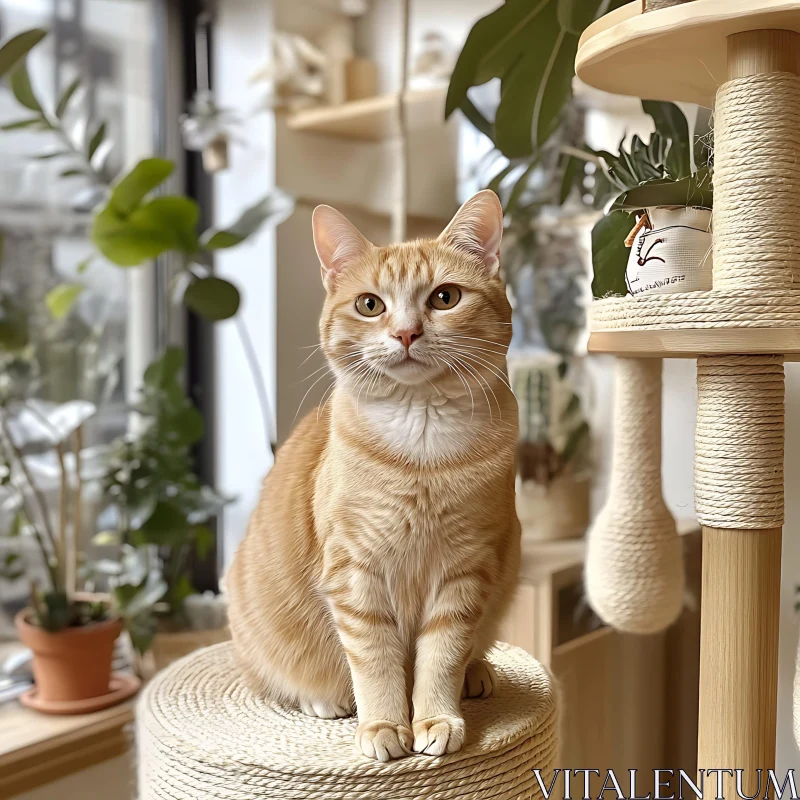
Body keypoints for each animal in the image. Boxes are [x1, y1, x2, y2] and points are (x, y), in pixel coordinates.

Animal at [228, 189, 520, 764]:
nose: (406, 333)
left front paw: (437, 717)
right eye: (370, 305)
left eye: (445, 298)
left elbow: (442, 654)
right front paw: (385, 725)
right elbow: (375, 659)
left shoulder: (467, 569)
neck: (423, 451)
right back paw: (326, 699)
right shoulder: (356, 573)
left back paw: (477, 674)